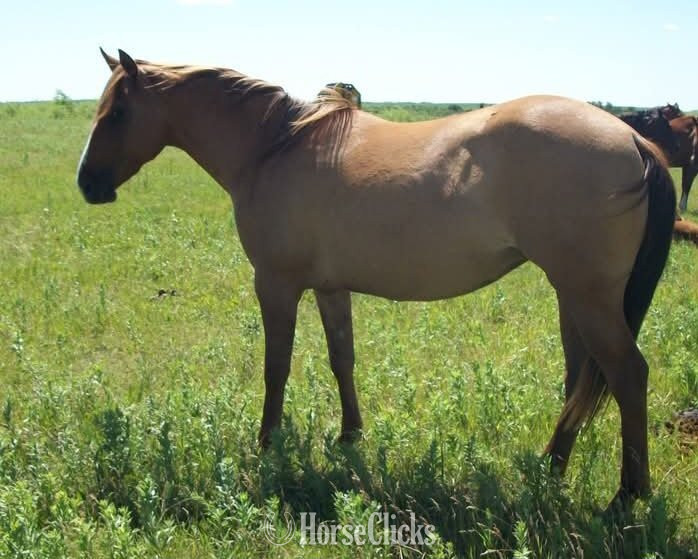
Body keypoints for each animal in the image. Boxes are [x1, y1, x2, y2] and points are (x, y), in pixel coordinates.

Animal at [77, 49, 676, 511]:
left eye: (118, 111)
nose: (87, 184)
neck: (275, 146)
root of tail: (635, 141)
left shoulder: (275, 284)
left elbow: (276, 368)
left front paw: (267, 446)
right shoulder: (329, 287)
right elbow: (342, 358)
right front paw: (350, 437)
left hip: (588, 297)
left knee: (627, 376)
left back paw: (626, 498)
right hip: (573, 296)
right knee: (581, 379)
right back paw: (549, 468)